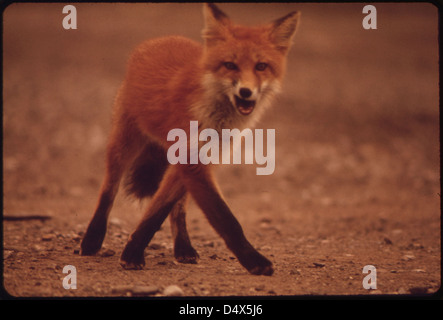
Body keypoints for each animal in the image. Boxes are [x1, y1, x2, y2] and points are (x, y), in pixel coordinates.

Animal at [80, 3, 302, 276]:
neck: (215, 118)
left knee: (179, 209)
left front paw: (134, 250)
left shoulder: (202, 158)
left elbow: (159, 210)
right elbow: (226, 218)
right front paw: (254, 261)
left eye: (261, 66)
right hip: (124, 144)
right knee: (108, 191)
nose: (246, 92)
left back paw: (183, 247)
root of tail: (160, 39)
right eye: (230, 65)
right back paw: (92, 239)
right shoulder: (190, 159)